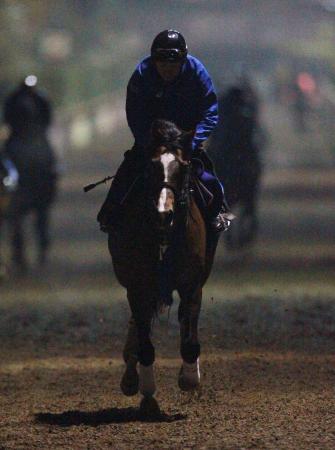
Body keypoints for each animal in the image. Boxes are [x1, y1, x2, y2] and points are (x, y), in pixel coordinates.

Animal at [107, 119, 220, 400]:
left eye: (183, 167)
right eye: (151, 166)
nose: (163, 214)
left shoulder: (192, 283)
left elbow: (189, 335)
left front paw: (189, 377)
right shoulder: (137, 284)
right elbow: (144, 336)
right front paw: (144, 384)